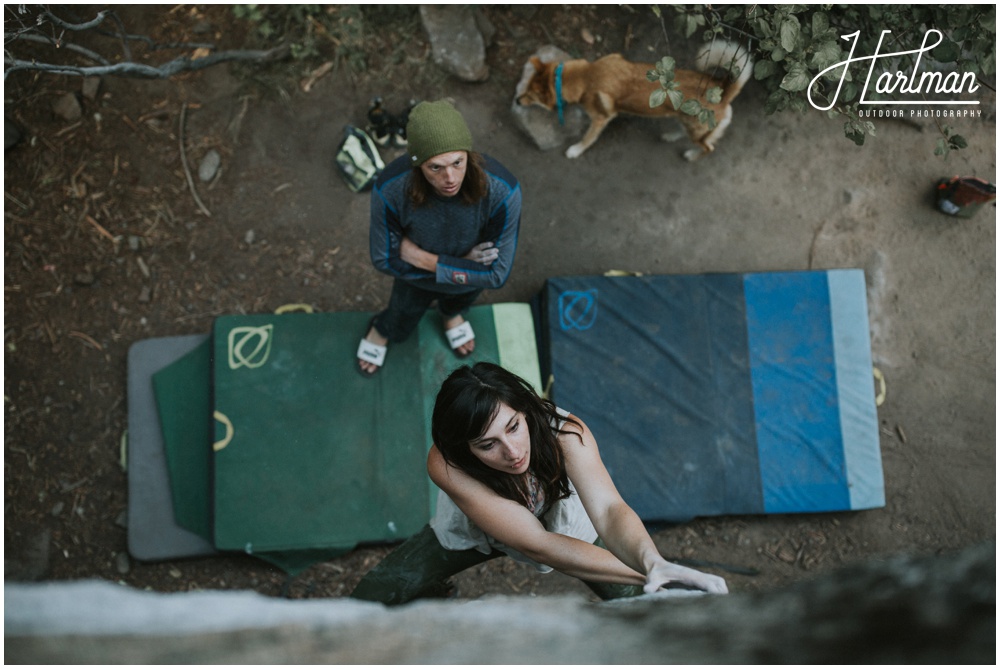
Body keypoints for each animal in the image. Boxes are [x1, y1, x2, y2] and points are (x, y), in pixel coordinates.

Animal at [516, 42, 752, 160]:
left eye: (530, 96)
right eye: (525, 89)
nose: (517, 101)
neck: (586, 76)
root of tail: (723, 89)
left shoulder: (601, 119)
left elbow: (587, 138)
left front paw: (575, 150)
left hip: (698, 130)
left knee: (707, 147)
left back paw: (691, 155)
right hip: (685, 119)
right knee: (685, 132)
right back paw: (670, 136)